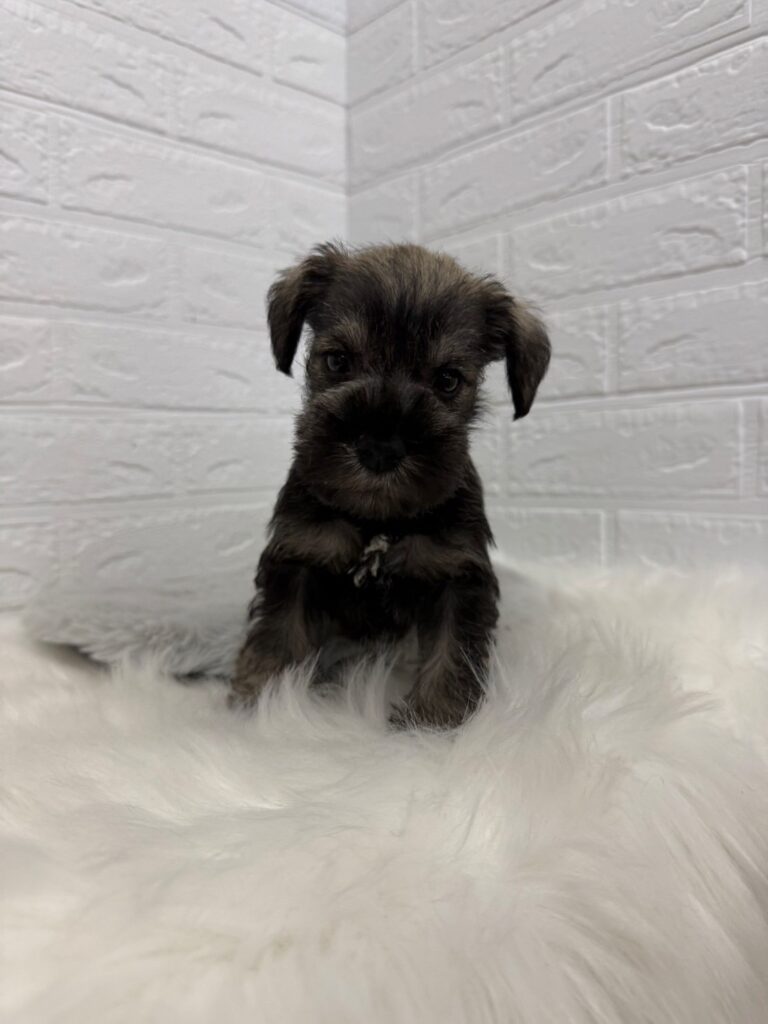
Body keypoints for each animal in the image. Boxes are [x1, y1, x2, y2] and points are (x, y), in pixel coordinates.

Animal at [231, 242, 550, 728]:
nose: (380, 447)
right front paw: (263, 701)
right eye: (338, 360)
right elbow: (278, 632)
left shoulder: (457, 574)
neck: (377, 523)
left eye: (447, 379)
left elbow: (452, 649)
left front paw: (433, 720)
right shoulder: (298, 556)